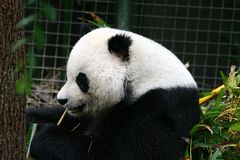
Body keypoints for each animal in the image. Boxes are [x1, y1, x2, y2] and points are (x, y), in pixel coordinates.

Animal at [26, 27, 200, 160]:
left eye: (81, 80)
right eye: (68, 76)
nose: (61, 99)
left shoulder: (158, 107)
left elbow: (110, 152)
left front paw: (44, 134)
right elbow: (73, 120)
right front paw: (32, 116)